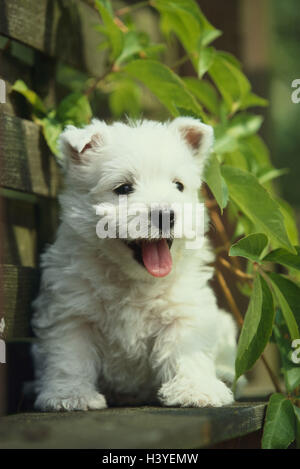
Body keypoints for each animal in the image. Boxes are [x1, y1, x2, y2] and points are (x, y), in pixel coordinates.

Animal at [31, 116, 238, 410]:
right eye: (124, 188)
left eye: (178, 185)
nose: (165, 215)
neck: (133, 280)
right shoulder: (71, 312)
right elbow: (70, 357)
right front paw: (70, 395)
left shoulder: (183, 309)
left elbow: (187, 349)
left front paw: (195, 390)